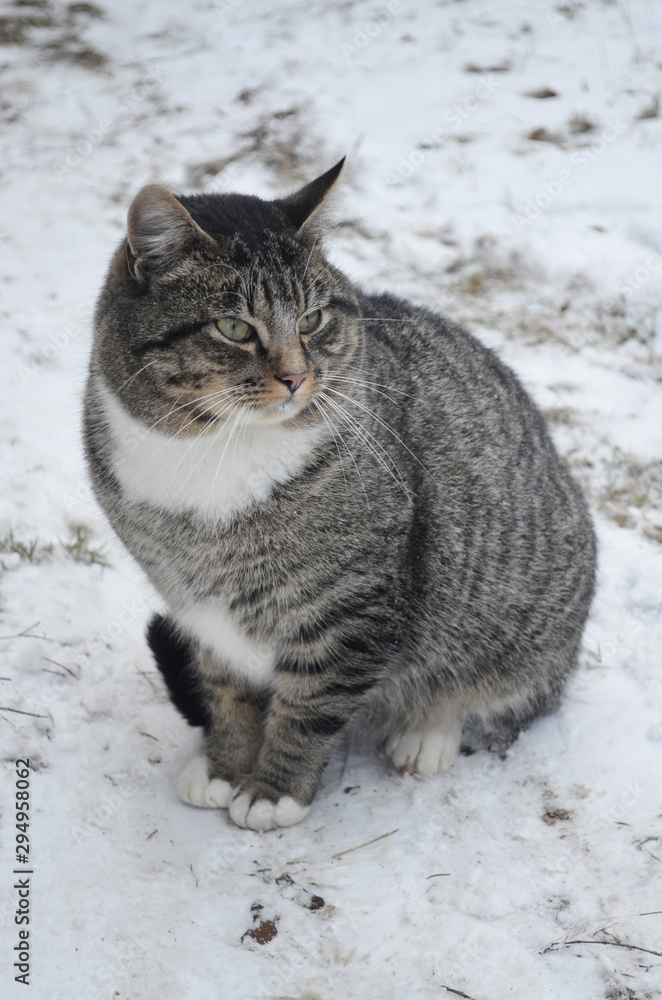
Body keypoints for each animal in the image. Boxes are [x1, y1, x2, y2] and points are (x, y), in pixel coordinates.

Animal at [84, 158, 600, 828]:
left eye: (311, 320)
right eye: (233, 327)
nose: (296, 377)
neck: (217, 451)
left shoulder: (351, 604)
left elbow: (310, 705)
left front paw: (273, 787)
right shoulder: (195, 604)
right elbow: (224, 690)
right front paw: (226, 764)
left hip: (523, 608)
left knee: (502, 689)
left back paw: (429, 731)